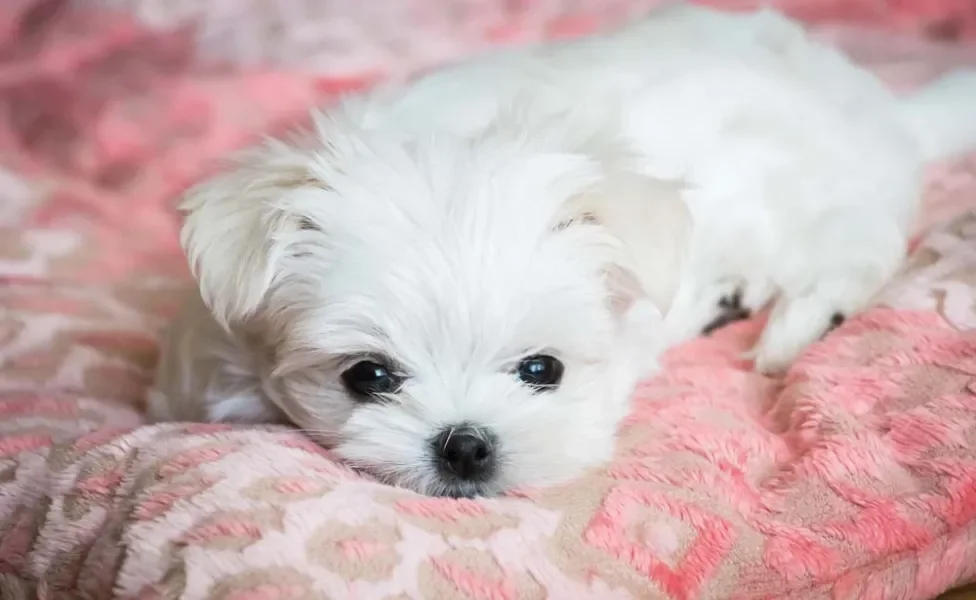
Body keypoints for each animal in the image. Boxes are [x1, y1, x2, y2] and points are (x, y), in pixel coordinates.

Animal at [147, 5, 976, 496]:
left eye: (542, 371)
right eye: (367, 377)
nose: (465, 446)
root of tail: (882, 112)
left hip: (823, 200)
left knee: (855, 251)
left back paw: (796, 326)